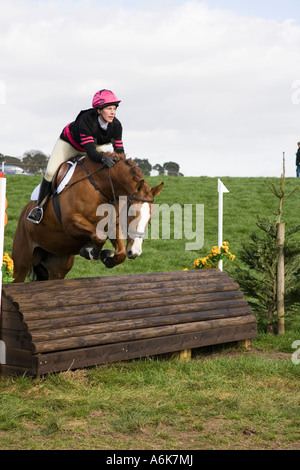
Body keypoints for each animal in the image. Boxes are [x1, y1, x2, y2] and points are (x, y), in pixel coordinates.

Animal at [11, 152, 163, 280]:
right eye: (131, 214)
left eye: (150, 219)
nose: (135, 251)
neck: (102, 187)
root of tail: (25, 212)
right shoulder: (71, 222)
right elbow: (99, 236)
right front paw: (90, 252)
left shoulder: (112, 225)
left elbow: (120, 253)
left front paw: (107, 257)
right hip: (22, 261)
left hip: (57, 266)